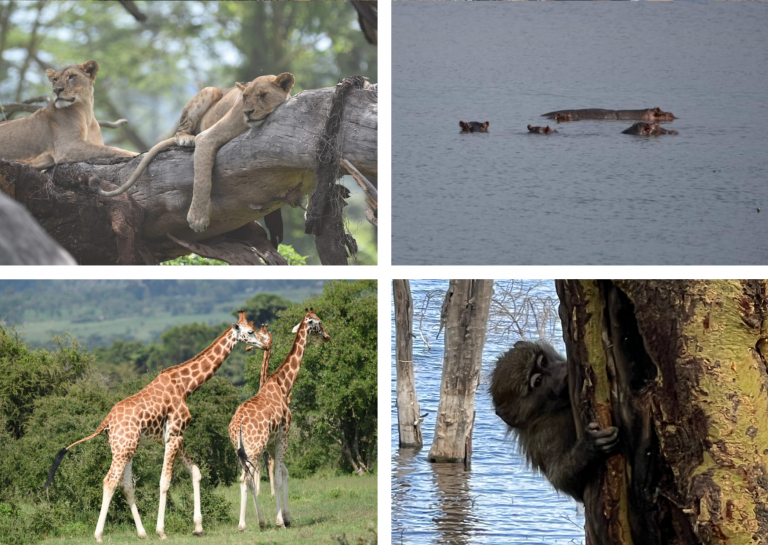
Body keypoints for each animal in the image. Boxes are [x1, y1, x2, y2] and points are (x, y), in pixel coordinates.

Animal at [45, 310, 268, 540]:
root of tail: (106, 422)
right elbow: (165, 482)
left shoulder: (173, 437)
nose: (264, 345)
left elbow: (195, 472)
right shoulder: (175, 435)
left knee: (126, 484)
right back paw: (99, 535)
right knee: (110, 481)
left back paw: (142, 533)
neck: (185, 386)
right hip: (124, 448)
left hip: (125, 448)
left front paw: (198, 527)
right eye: (251, 331)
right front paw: (161, 530)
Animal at [231, 308, 332, 528]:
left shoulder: (272, 443)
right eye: (319, 322)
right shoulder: (283, 437)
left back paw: (257, 521)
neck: (284, 385)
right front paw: (280, 521)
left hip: (240, 449)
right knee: (246, 478)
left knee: (245, 477)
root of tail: (238, 424)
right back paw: (245, 524)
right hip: (254, 448)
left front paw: (286, 516)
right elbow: (277, 478)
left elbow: (283, 472)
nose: (327, 336)